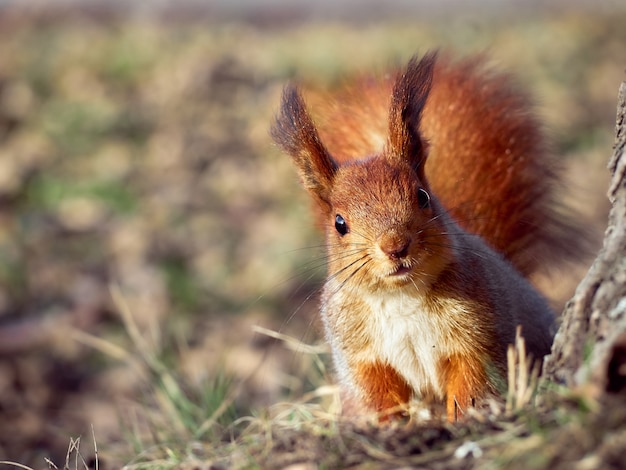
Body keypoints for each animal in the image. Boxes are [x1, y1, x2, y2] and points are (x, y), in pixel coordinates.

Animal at [270, 52, 584, 422]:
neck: (400, 297)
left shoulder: (479, 337)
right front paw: (386, 426)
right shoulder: (360, 354)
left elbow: (474, 382)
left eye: (422, 196)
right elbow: (375, 395)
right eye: (339, 223)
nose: (395, 246)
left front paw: (465, 419)